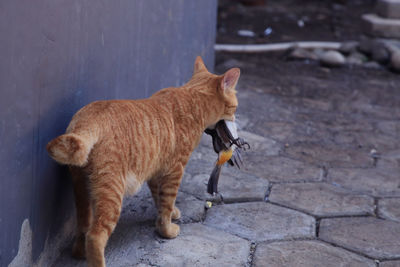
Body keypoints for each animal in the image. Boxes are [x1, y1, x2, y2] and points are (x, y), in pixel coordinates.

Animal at [47, 57, 241, 267]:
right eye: (235, 107)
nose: (235, 119)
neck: (193, 97)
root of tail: (86, 120)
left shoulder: (156, 171)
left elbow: (160, 199)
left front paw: (171, 214)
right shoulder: (175, 170)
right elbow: (167, 201)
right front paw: (167, 230)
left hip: (82, 189)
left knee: (83, 225)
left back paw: (79, 252)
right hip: (112, 192)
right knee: (95, 235)